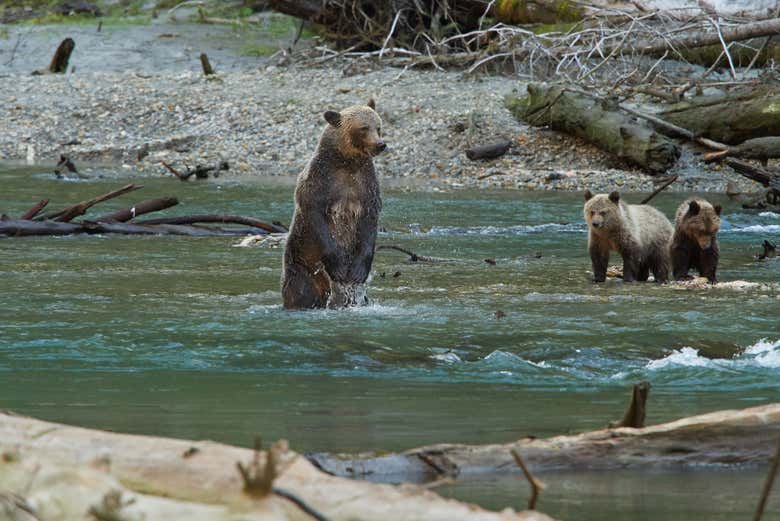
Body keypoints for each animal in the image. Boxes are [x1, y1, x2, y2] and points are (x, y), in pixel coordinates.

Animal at [281, 99, 386, 310]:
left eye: (378, 126)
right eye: (364, 127)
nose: (381, 144)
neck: (347, 163)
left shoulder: (366, 186)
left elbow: (369, 224)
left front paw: (358, 271)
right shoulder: (320, 182)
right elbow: (317, 218)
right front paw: (338, 267)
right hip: (301, 265)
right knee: (300, 292)